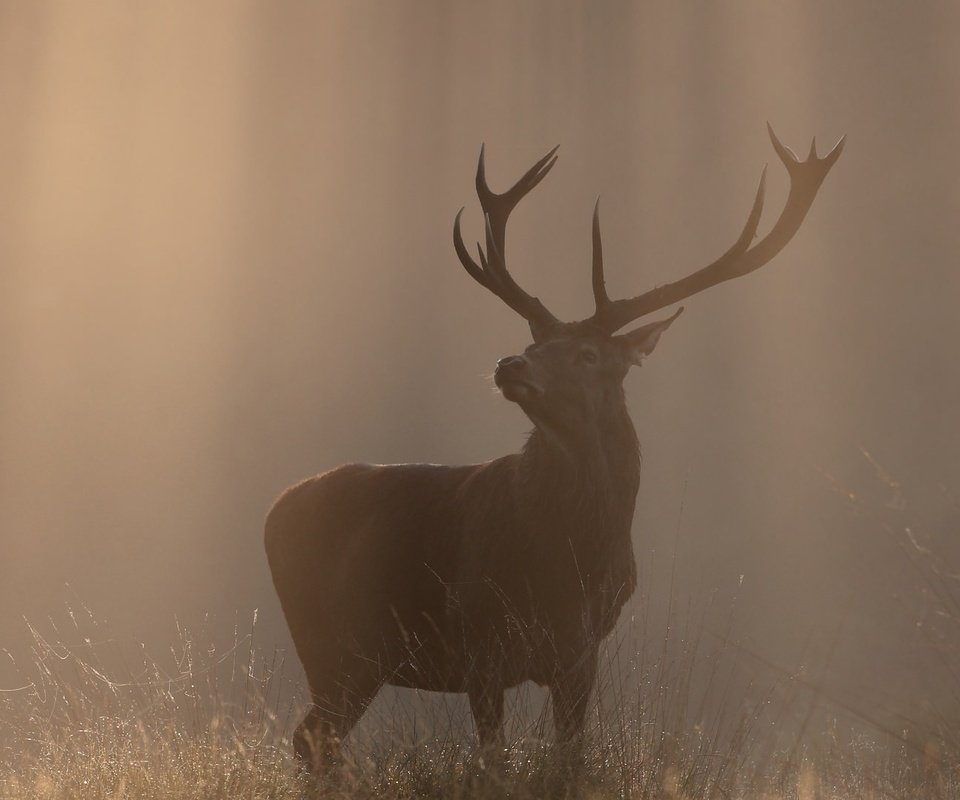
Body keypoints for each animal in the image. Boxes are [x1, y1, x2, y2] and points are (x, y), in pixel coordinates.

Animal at [262, 126, 840, 776]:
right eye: (536, 342)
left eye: (588, 355)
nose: (509, 363)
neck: (571, 558)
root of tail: (272, 513)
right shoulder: (480, 638)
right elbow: (493, 760)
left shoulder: (581, 652)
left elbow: (570, 755)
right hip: (334, 642)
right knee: (312, 737)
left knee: (314, 738)